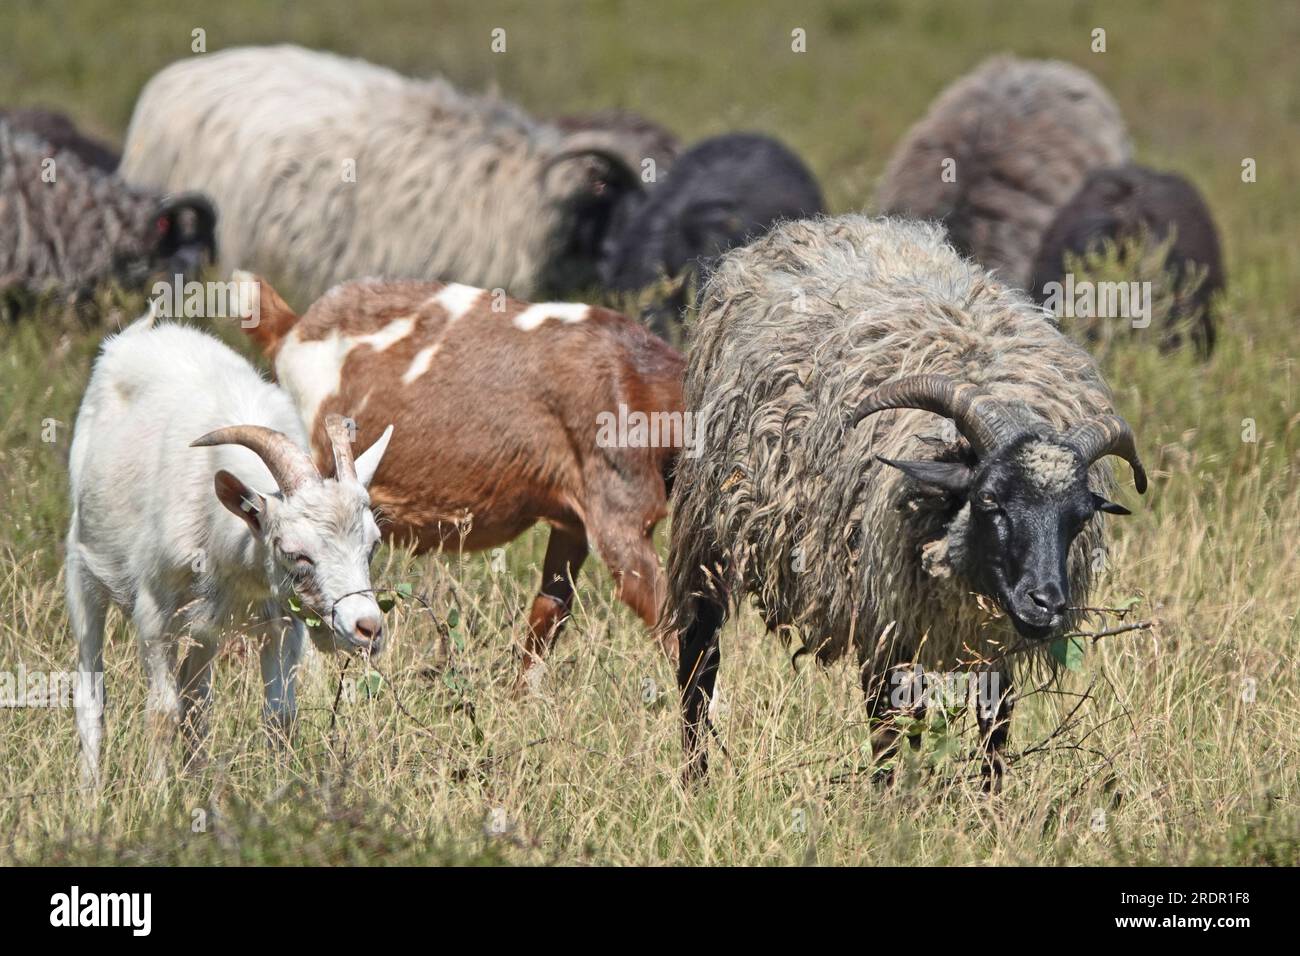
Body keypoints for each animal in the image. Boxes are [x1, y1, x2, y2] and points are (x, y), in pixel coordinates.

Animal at [244, 273, 691, 691]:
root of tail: (293, 328)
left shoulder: (572, 522)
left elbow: (549, 612)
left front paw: (520, 702)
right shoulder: (618, 513)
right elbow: (670, 620)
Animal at [665, 217, 1144, 785]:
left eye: (1079, 516)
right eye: (988, 500)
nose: (1045, 604)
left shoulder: (991, 639)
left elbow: (994, 728)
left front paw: (989, 802)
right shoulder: (884, 620)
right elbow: (889, 735)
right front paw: (893, 802)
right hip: (705, 527)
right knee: (698, 658)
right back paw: (696, 780)